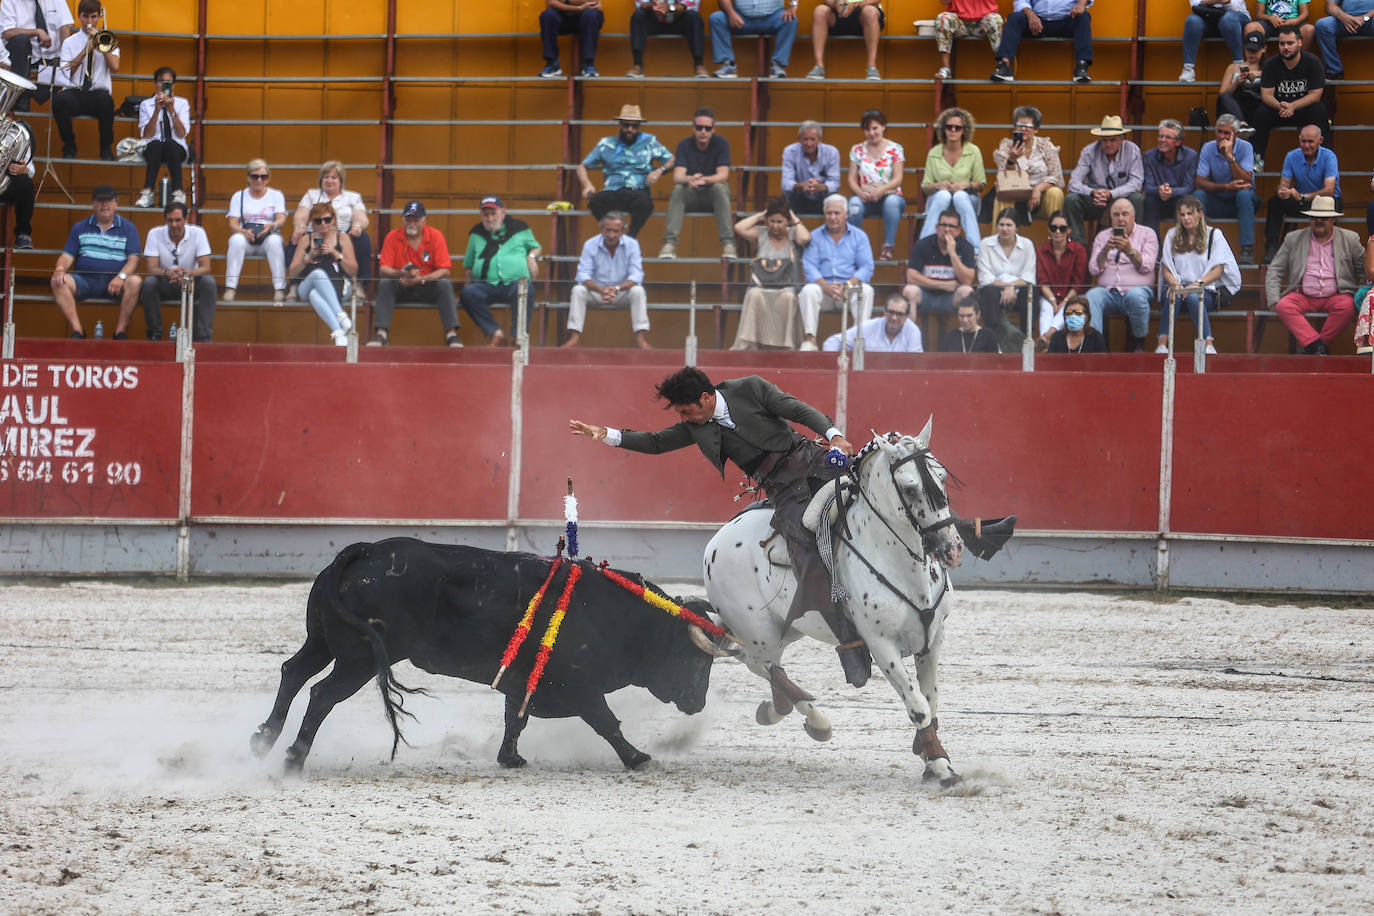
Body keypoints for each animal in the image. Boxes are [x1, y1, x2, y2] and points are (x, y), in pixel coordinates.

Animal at [252, 538, 719, 774]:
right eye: (698, 660)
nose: (698, 703)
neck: (621, 616)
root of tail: (364, 550)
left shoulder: (524, 682)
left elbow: (515, 719)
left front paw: (509, 758)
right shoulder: (579, 686)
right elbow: (606, 721)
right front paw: (637, 758)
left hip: (324, 641)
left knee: (293, 671)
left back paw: (264, 738)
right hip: (359, 660)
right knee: (321, 694)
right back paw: (292, 758)